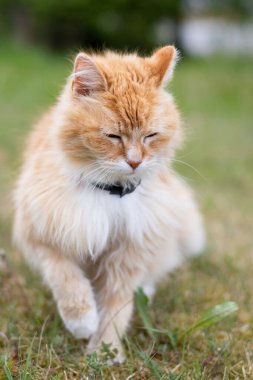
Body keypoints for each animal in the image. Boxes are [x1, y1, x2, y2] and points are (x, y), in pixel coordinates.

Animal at [12, 46, 205, 364]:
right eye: (113, 136)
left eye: (150, 135)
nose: (135, 162)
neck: (111, 193)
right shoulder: (44, 235)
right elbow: (66, 277)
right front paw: (81, 320)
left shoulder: (129, 252)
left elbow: (117, 308)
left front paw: (106, 350)